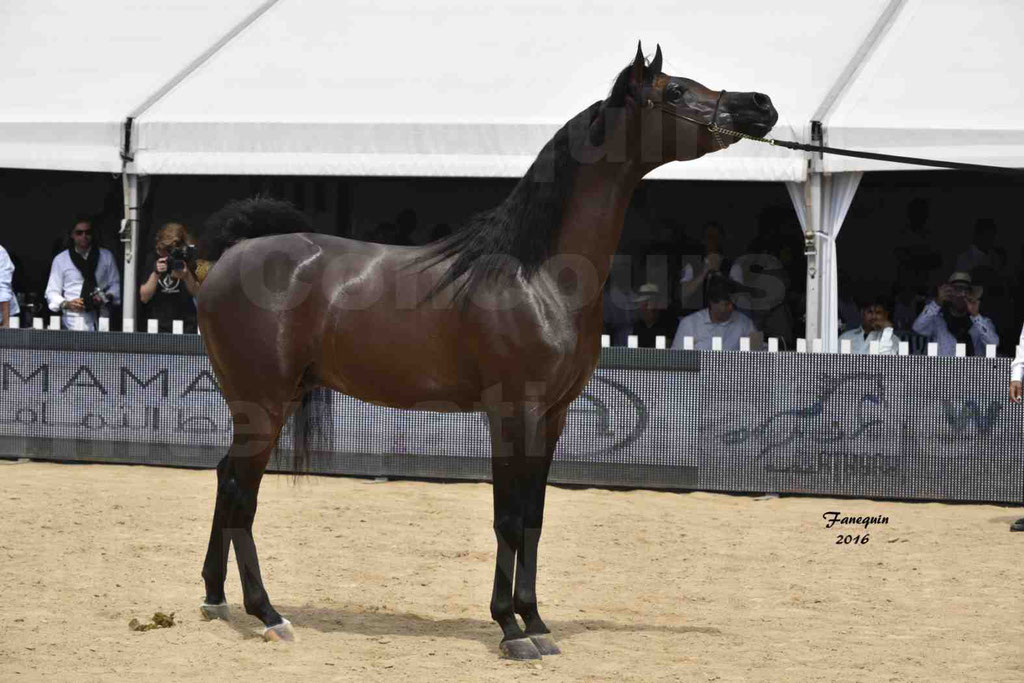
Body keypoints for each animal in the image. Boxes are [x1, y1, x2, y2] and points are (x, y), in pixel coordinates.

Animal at [193, 44, 774, 663]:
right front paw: (510, 628)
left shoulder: (552, 416)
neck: (537, 275)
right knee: (241, 492)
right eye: (674, 91)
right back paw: (268, 613)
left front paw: (536, 622)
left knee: (225, 480)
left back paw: (215, 598)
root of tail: (232, 254)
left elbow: (534, 516)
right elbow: (508, 516)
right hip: (263, 404)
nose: (759, 105)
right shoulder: (511, 411)